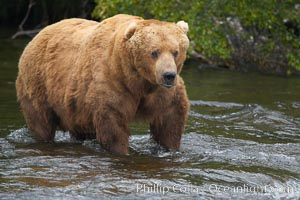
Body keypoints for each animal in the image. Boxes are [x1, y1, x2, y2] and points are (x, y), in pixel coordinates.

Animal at [15, 14, 189, 155]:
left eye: (175, 51)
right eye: (154, 52)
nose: (169, 76)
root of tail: (37, 36)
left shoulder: (161, 93)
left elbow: (170, 120)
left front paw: (170, 148)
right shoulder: (114, 84)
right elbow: (113, 125)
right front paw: (121, 151)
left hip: (76, 106)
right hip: (37, 84)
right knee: (41, 122)